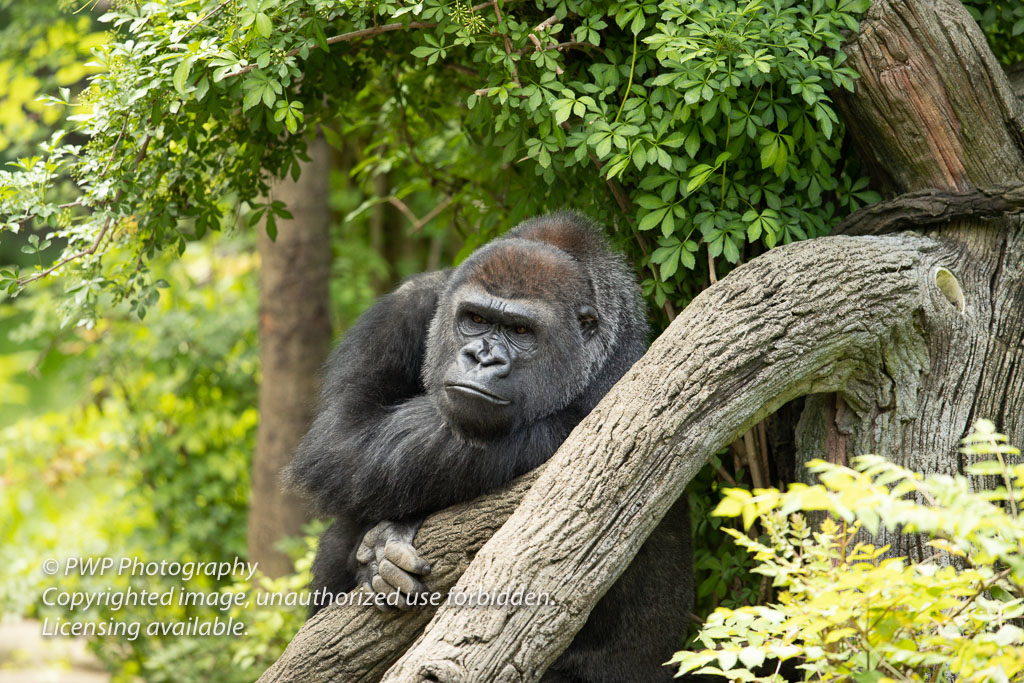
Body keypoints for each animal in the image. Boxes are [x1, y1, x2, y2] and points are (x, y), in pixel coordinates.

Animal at [284, 210, 692, 679]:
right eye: (476, 320)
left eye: (520, 330)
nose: (482, 358)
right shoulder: (406, 306)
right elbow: (345, 438)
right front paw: (379, 548)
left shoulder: (631, 378)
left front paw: (385, 542)